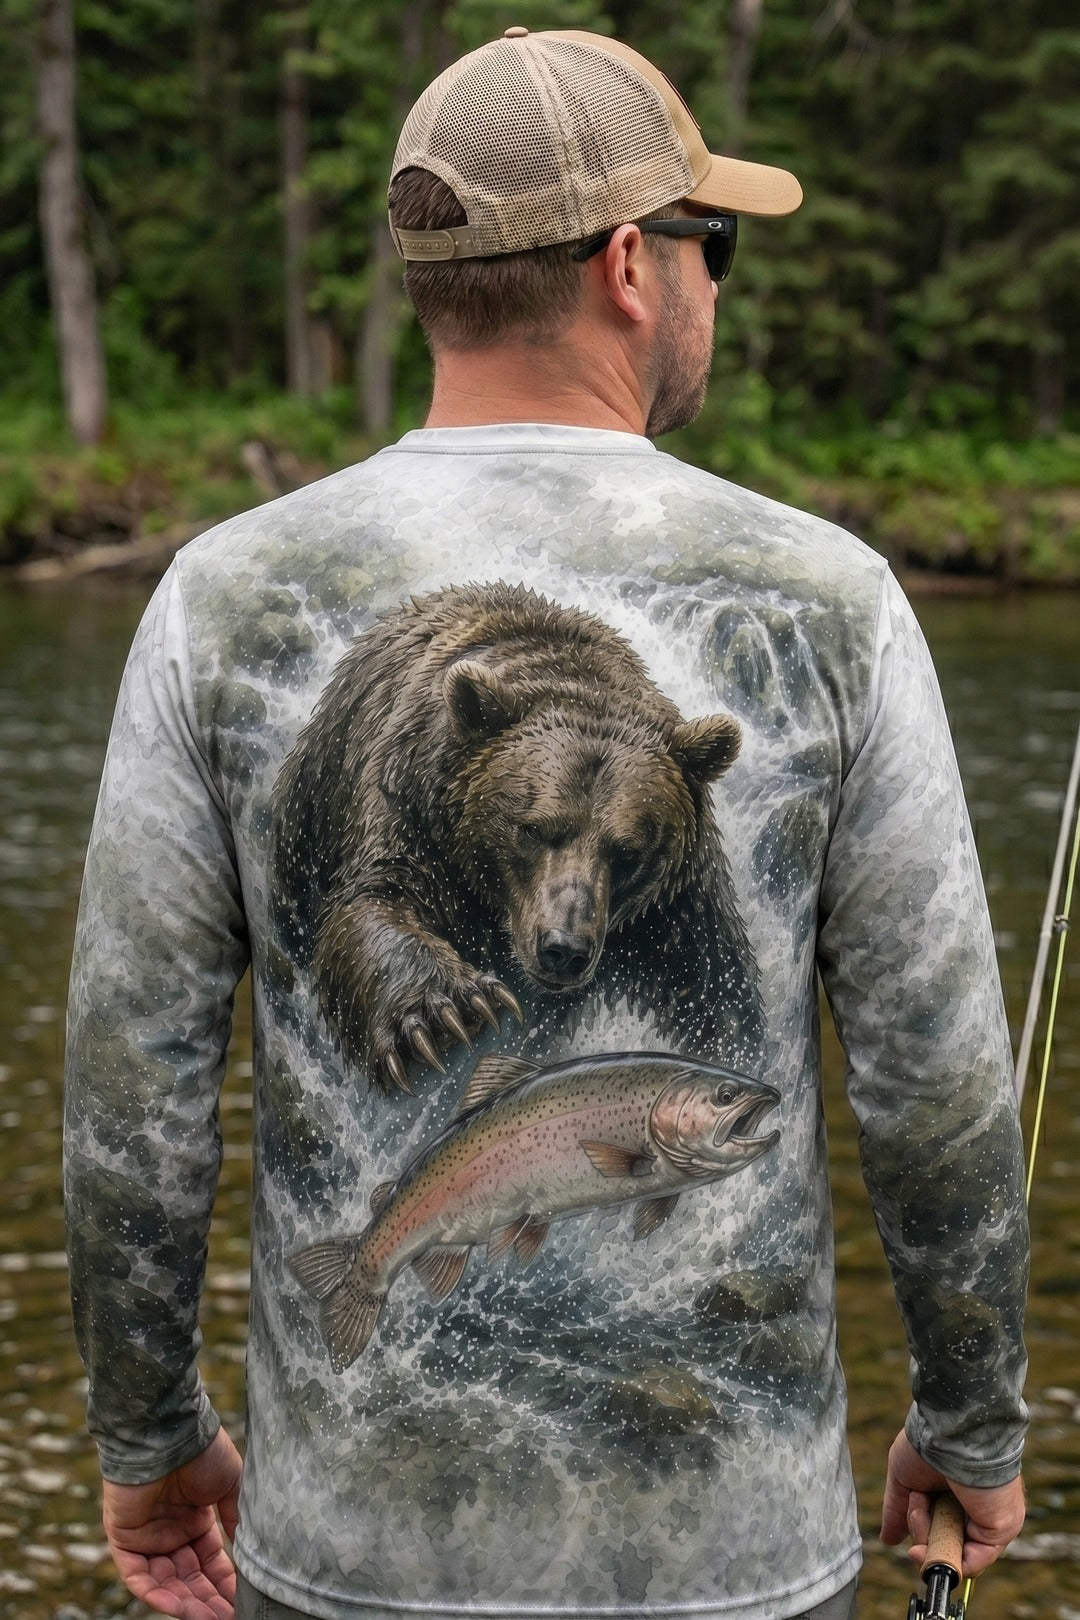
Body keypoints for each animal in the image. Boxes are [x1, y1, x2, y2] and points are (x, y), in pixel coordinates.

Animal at [270, 581, 763, 1092]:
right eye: (533, 829)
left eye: (627, 852)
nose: (564, 949)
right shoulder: (408, 806)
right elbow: (375, 899)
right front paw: (446, 1012)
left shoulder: (673, 910)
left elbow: (713, 993)